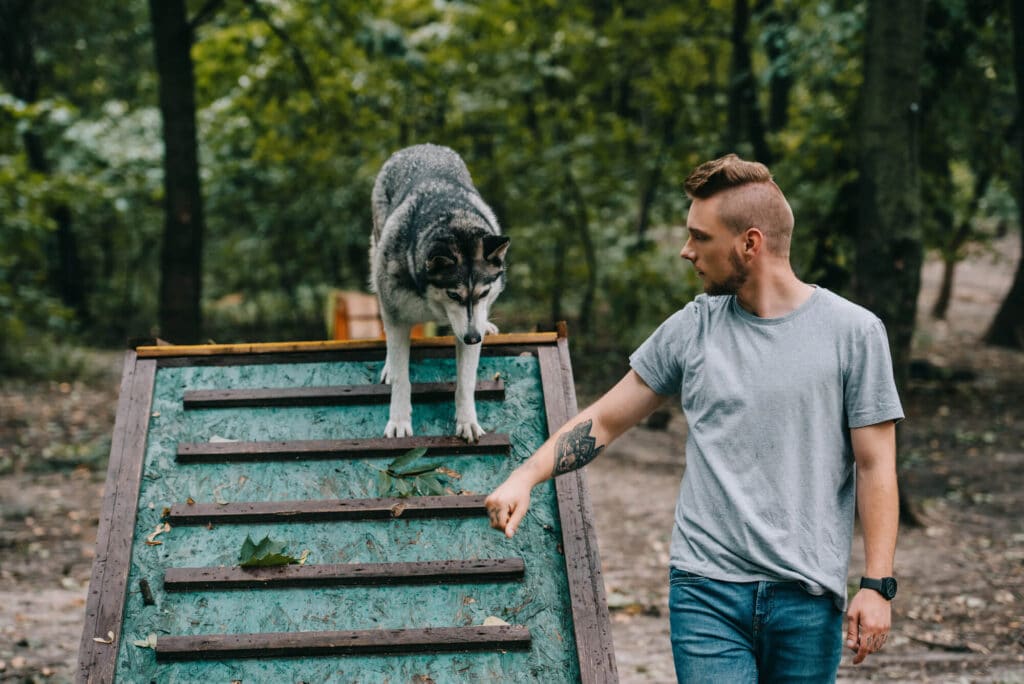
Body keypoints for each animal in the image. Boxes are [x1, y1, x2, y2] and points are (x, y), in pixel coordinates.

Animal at [370, 145, 509, 444]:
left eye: (483, 293)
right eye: (453, 295)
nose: (474, 337)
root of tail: (421, 146)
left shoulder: (469, 327)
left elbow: (466, 382)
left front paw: (468, 422)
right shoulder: (395, 314)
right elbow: (402, 377)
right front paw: (399, 421)